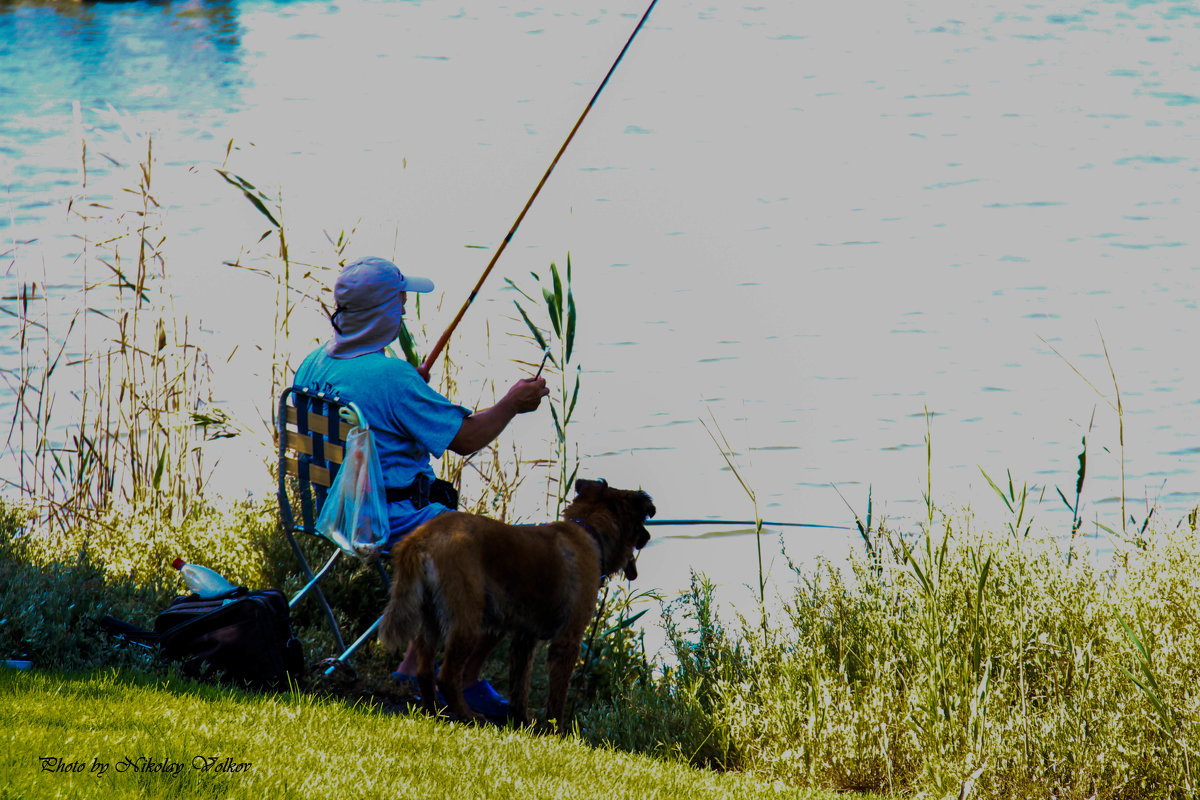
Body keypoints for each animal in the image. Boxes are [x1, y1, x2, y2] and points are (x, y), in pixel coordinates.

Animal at [376, 479, 652, 729]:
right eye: (642, 523)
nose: (648, 537)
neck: (589, 528)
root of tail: (424, 536)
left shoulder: (524, 639)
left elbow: (520, 688)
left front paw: (522, 724)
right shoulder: (567, 640)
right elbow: (557, 697)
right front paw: (557, 732)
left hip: (430, 620)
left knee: (424, 672)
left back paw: (433, 712)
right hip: (468, 620)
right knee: (447, 676)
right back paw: (468, 716)